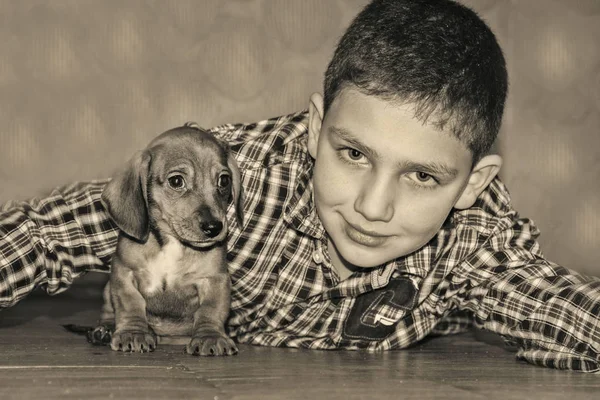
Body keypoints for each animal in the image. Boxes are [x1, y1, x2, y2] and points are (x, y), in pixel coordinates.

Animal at [96, 122, 241, 356]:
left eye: (224, 180)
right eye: (176, 181)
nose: (214, 227)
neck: (172, 243)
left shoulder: (215, 279)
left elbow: (210, 310)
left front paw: (210, 336)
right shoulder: (123, 272)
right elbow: (130, 303)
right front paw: (133, 332)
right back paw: (105, 329)